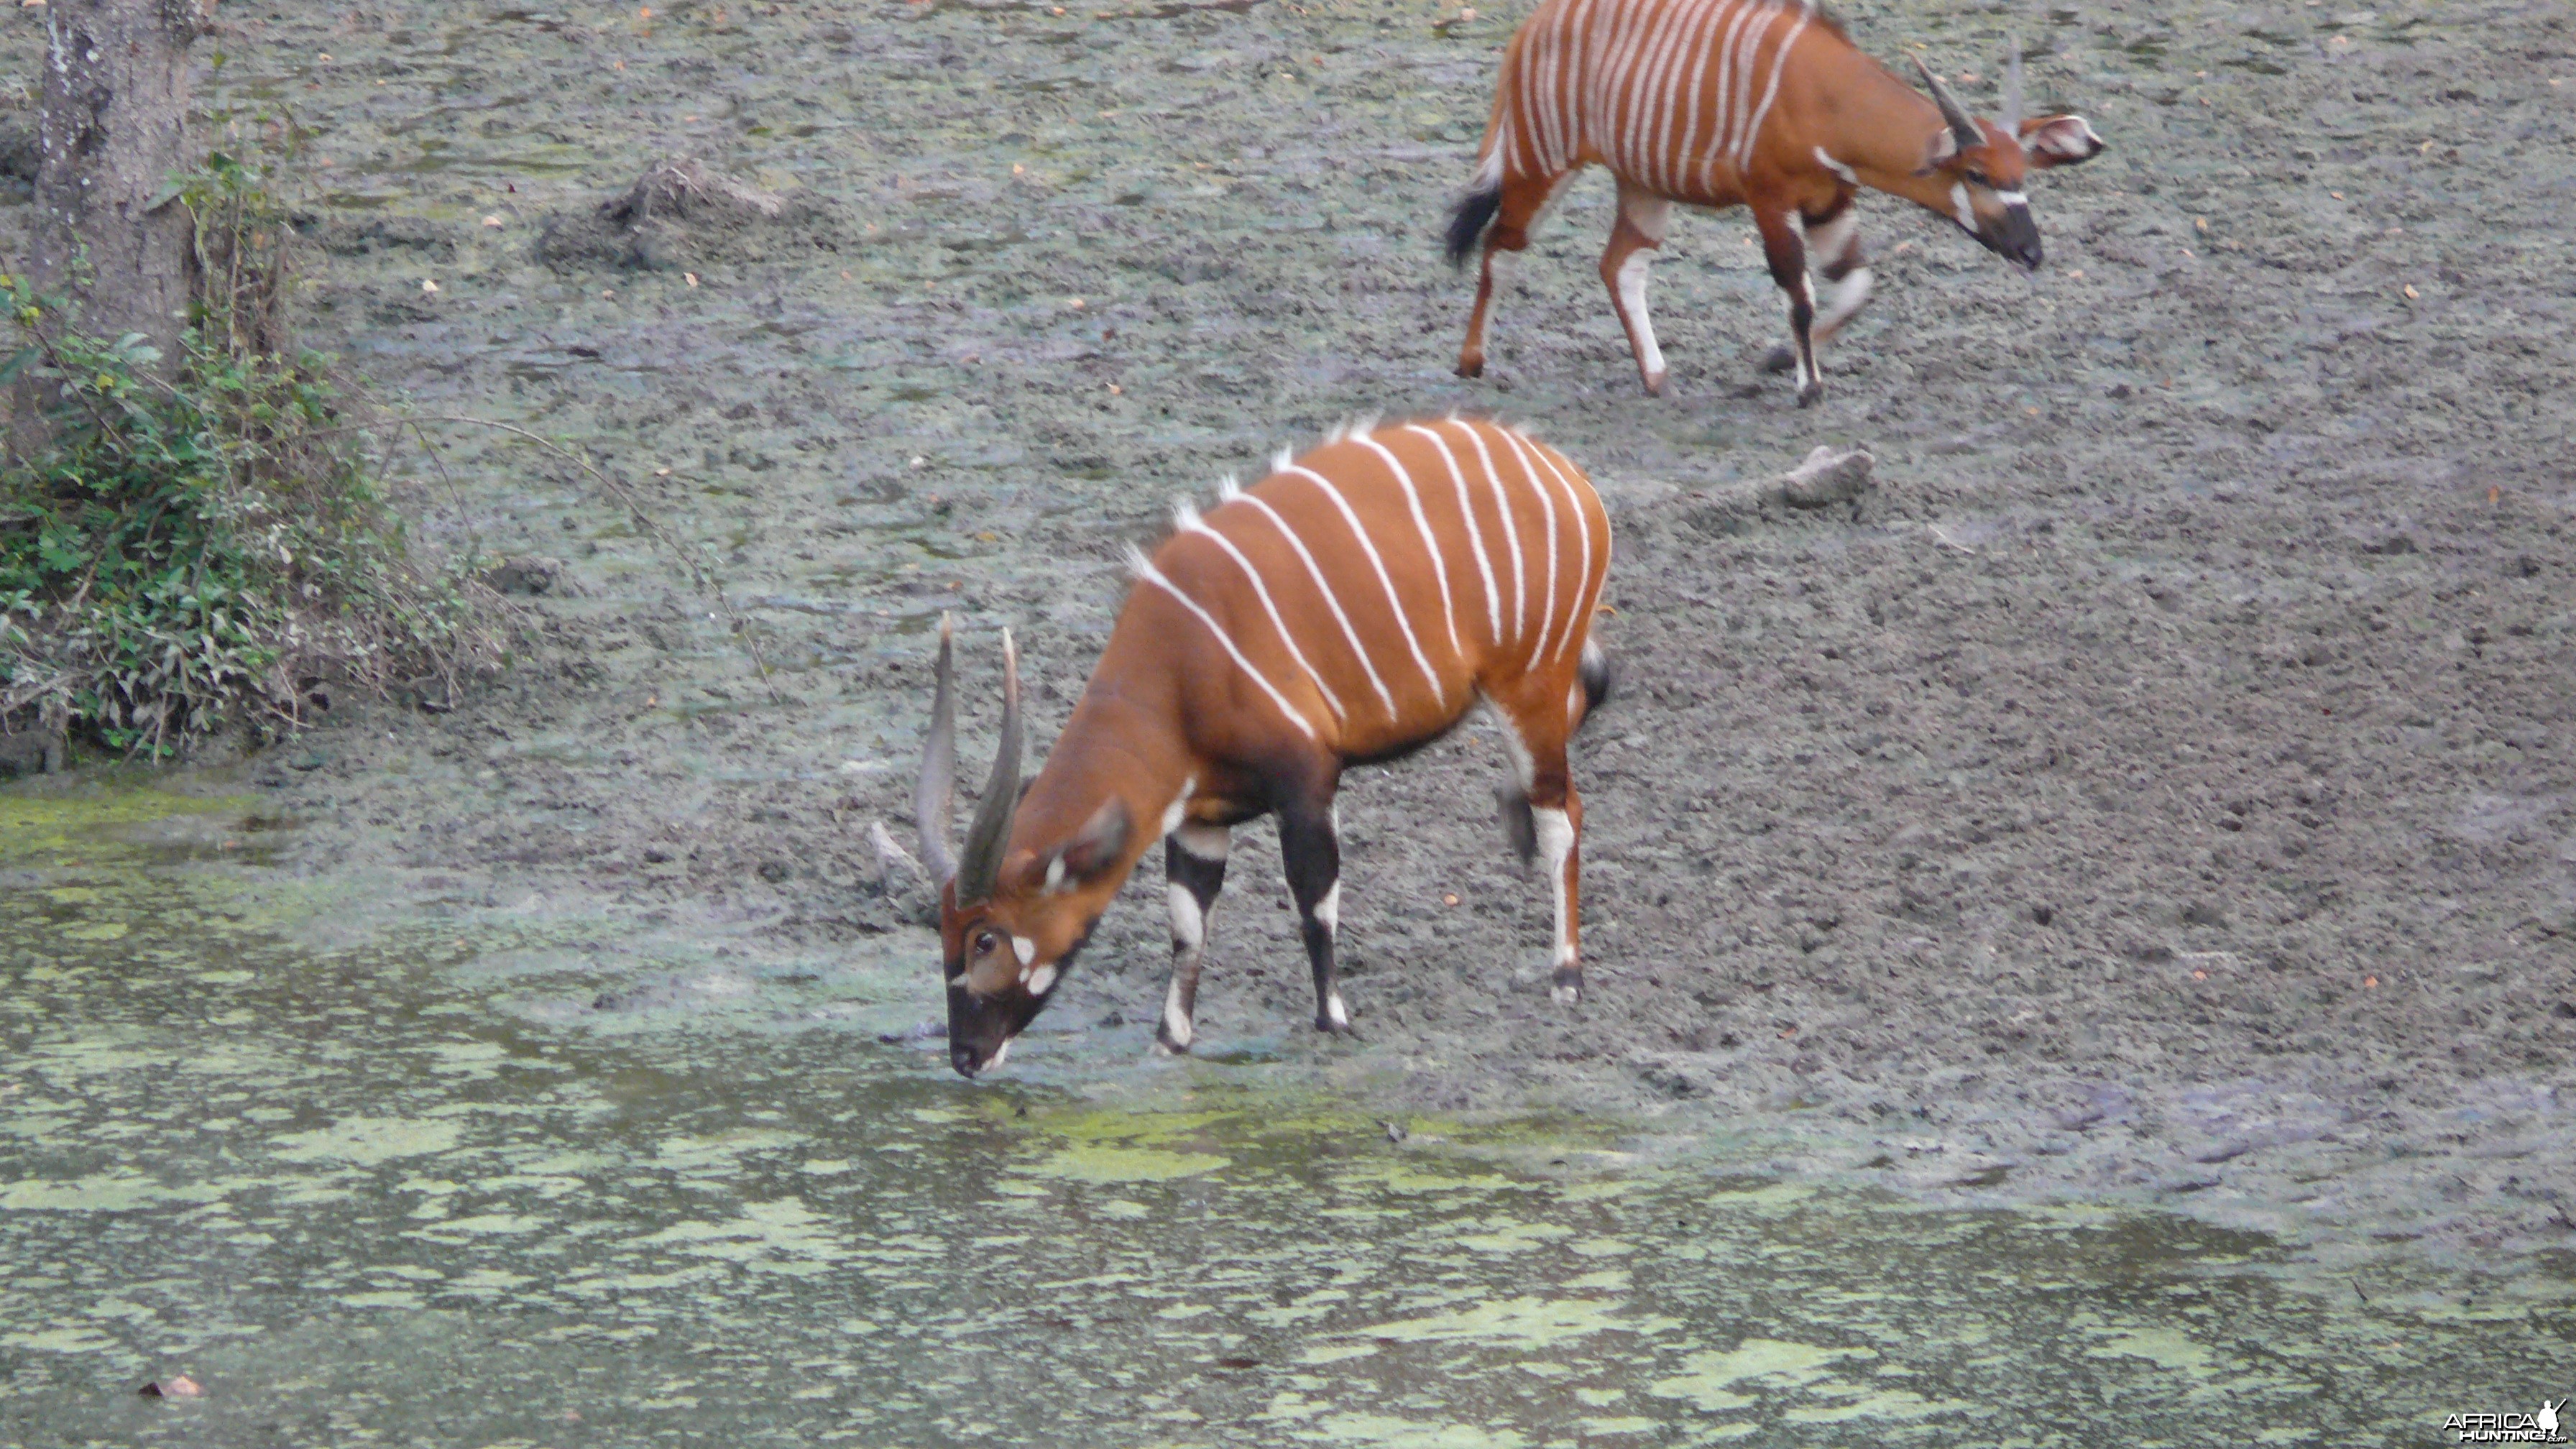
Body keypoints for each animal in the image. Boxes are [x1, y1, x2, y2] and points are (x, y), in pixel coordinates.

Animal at [916, 415, 1607, 1072]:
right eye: (941, 928)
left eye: (985, 938)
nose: (965, 1057)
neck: (1178, 666)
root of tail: (1569, 479)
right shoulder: (1199, 822)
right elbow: (1188, 927)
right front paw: (1170, 1041)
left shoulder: (1307, 785)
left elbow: (1314, 905)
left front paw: (1333, 1021)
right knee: (1592, 695)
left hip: (1527, 684)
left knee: (1564, 811)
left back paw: (1567, 976)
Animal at [1443, 2, 2102, 407]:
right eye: (1976, 172)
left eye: (2023, 173)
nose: (2031, 251)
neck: (1824, 95)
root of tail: (1531, 27)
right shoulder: (1771, 200)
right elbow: (1800, 294)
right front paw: (1808, 388)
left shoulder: (1832, 202)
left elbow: (1856, 288)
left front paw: (1779, 360)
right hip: (1542, 164)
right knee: (1502, 245)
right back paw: (1471, 363)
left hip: (1642, 185)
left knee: (1619, 264)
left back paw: (1657, 377)